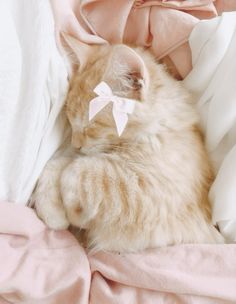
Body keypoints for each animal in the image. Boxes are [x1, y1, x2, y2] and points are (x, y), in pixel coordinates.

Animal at [32, 33, 223, 252]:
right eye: (71, 121)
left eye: (91, 124)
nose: (76, 144)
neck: (158, 130)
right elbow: (57, 165)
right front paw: (54, 213)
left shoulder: (144, 188)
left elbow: (77, 171)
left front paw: (75, 213)